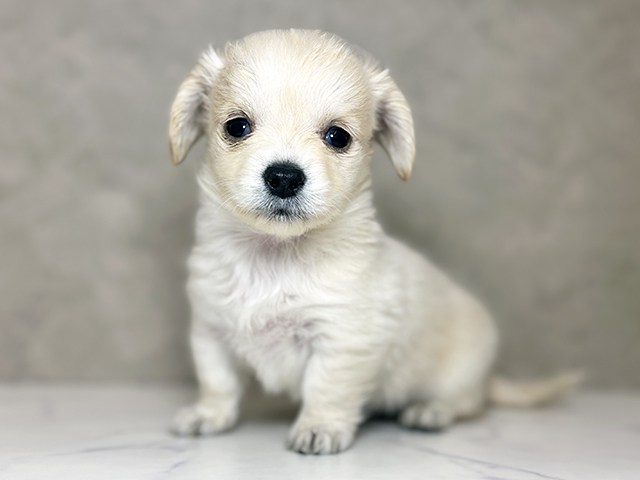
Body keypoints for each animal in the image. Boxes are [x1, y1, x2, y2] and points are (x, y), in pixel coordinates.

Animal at [167, 29, 580, 455]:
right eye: (237, 127)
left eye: (337, 137)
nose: (284, 177)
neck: (274, 256)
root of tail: (487, 379)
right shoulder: (211, 331)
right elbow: (218, 382)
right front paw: (208, 416)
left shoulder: (344, 340)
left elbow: (326, 388)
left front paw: (319, 428)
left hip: (458, 375)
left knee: (466, 403)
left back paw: (429, 411)